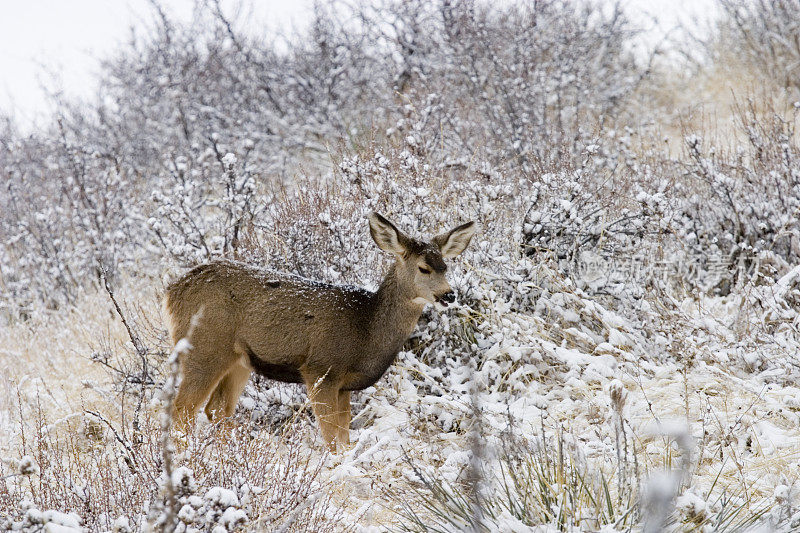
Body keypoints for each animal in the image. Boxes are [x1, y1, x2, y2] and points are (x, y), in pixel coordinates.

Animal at [163, 211, 476, 448]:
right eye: (424, 268)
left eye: (445, 266)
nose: (449, 295)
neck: (366, 328)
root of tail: (173, 292)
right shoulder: (320, 370)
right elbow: (330, 437)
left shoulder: (344, 386)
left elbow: (344, 437)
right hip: (204, 346)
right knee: (182, 409)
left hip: (240, 360)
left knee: (217, 409)